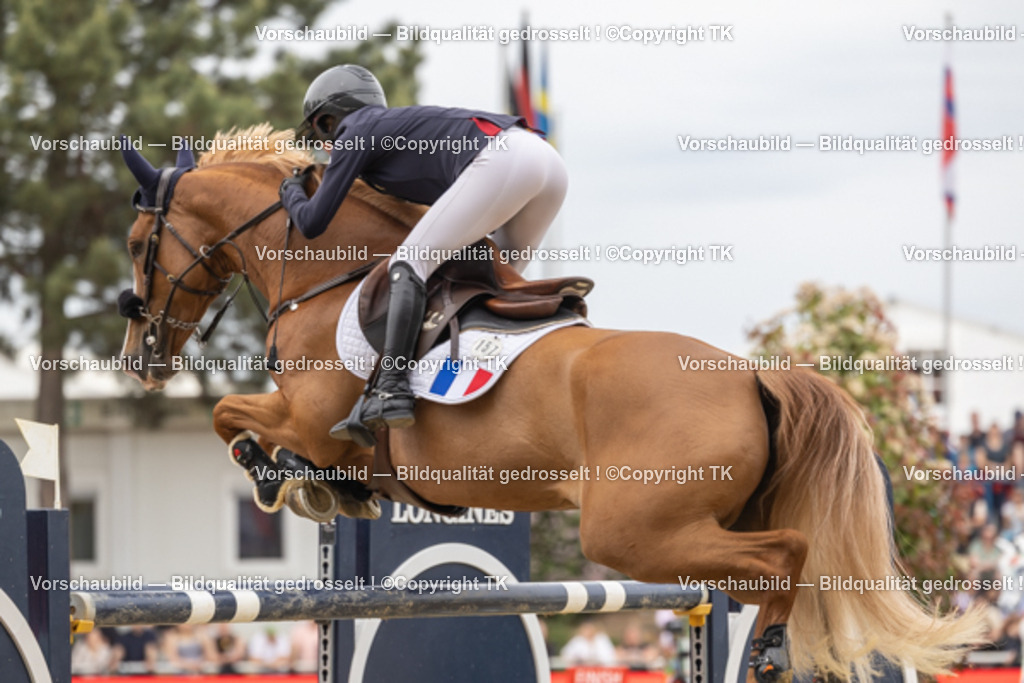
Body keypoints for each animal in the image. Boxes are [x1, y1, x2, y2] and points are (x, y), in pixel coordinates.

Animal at [118, 125, 984, 682]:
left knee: (786, 555)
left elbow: (232, 417)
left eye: (136, 244)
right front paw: (336, 491)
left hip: (635, 530)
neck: (329, 271)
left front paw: (281, 476)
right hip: (702, 524)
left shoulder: (309, 417)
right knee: (778, 561)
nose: (139, 357)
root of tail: (752, 376)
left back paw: (769, 649)